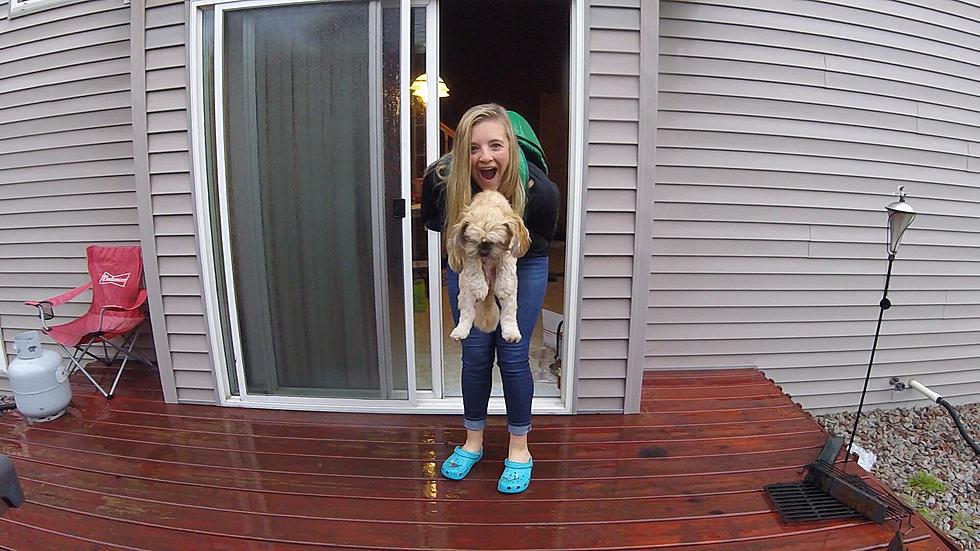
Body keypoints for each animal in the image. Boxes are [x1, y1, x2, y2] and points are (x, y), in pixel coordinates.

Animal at [450, 192, 532, 342]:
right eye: (474, 240)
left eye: (496, 241)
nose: (484, 252)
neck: (488, 203)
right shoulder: (469, 251)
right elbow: (474, 266)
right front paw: (480, 288)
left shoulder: (508, 250)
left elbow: (506, 263)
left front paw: (503, 286)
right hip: (466, 294)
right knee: (467, 314)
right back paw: (460, 332)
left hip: (511, 300)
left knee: (508, 316)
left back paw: (511, 334)